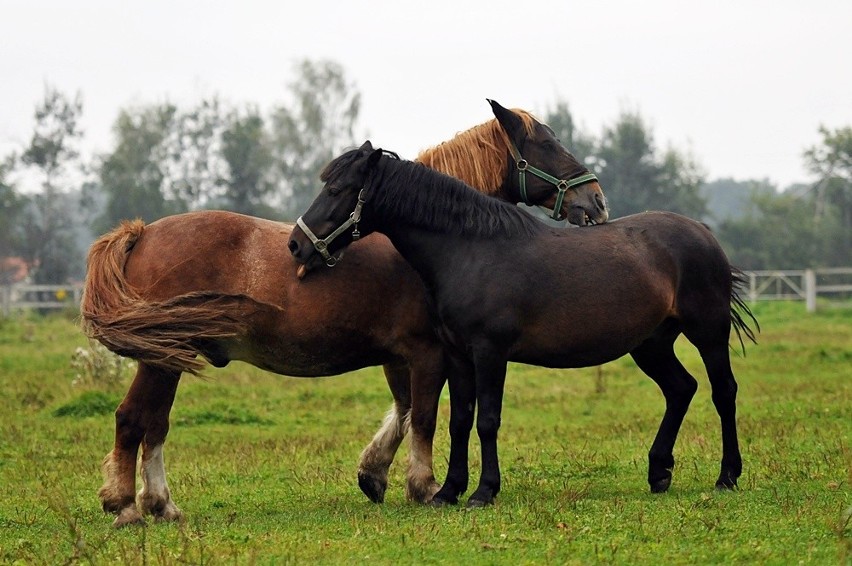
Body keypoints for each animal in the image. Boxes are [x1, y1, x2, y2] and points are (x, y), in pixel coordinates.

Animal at [83, 100, 608, 532]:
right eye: (547, 145)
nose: (596, 201)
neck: (434, 238)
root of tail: (142, 234)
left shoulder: (400, 357)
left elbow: (404, 411)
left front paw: (374, 474)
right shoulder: (427, 353)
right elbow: (424, 417)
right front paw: (423, 487)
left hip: (168, 359)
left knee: (154, 424)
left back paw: (160, 505)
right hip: (162, 359)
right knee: (133, 419)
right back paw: (126, 506)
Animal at [288, 146, 760, 510]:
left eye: (336, 189)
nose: (296, 243)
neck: (470, 251)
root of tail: (703, 233)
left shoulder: (490, 353)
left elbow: (487, 420)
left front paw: (483, 492)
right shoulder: (458, 355)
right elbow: (460, 420)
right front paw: (449, 492)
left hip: (708, 332)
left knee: (723, 392)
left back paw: (727, 476)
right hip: (650, 344)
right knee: (681, 389)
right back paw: (659, 471)